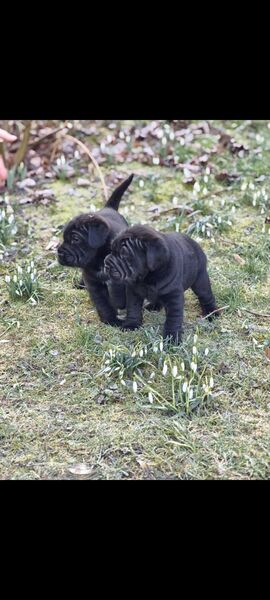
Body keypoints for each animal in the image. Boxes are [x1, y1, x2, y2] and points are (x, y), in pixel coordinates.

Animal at [57, 175, 133, 324]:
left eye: (75, 239)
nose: (58, 253)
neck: (99, 259)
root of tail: (109, 208)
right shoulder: (93, 283)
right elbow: (103, 303)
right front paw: (110, 320)